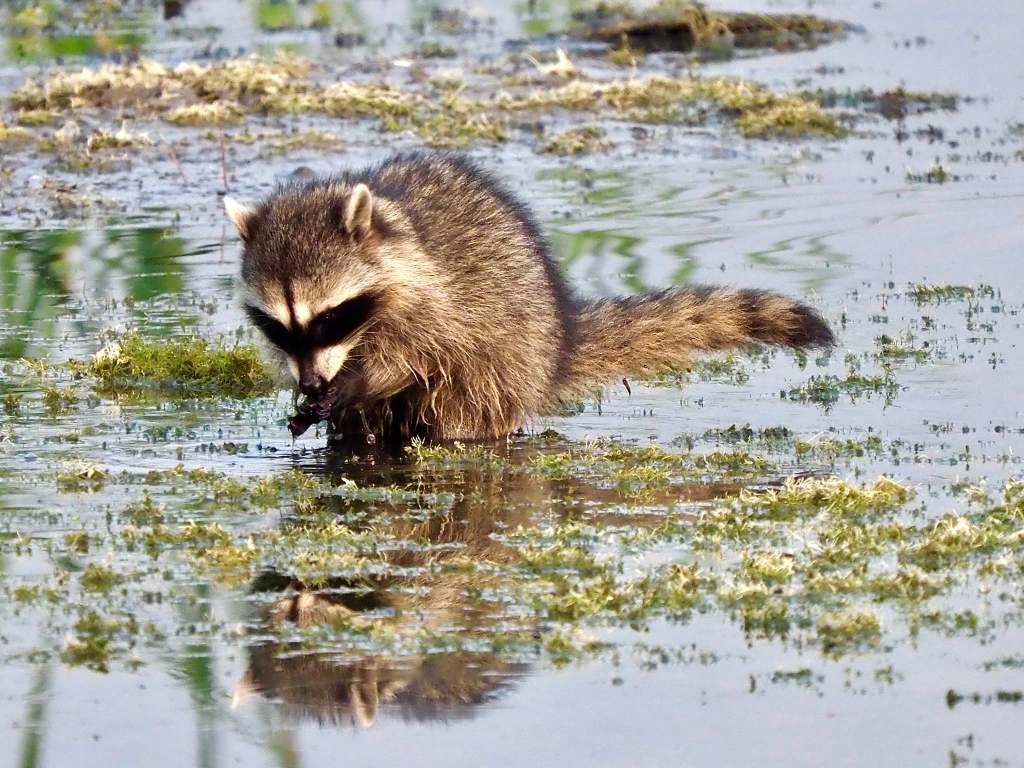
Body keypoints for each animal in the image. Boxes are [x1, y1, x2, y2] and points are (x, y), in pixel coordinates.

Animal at [224, 152, 833, 442]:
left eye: (330, 318)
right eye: (279, 327)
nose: (311, 384)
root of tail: (556, 345)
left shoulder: (435, 307)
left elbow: (410, 361)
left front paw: (353, 384)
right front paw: (314, 395)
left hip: (502, 364)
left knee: (461, 412)